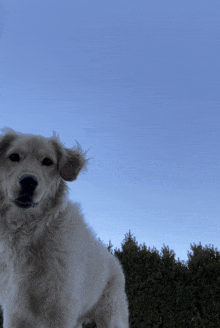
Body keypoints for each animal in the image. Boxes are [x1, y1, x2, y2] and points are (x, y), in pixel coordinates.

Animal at [0, 129, 129, 328]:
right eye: (14, 157)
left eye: (47, 161)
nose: (29, 182)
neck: (30, 230)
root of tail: (114, 261)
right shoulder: (15, 311)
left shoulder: (60, 309)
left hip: (112, 317)